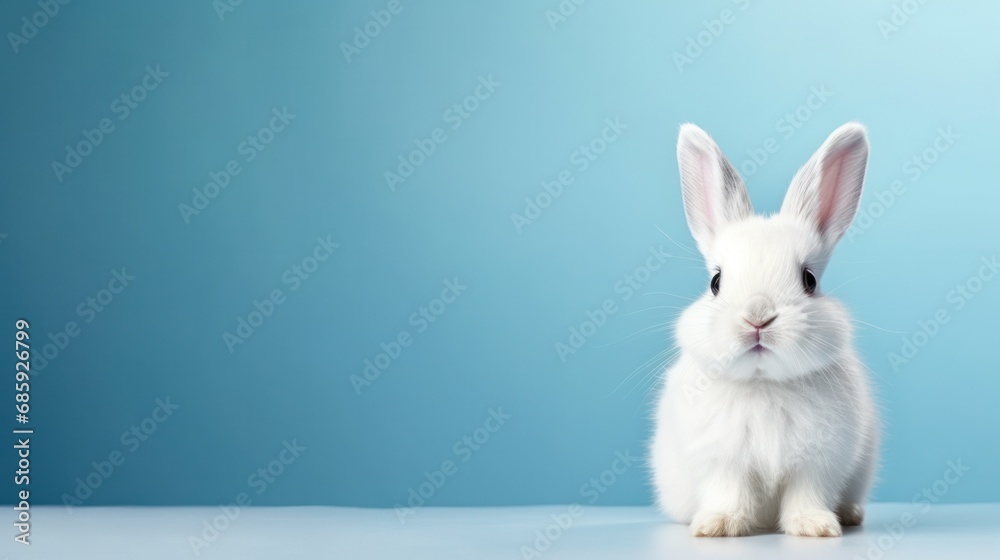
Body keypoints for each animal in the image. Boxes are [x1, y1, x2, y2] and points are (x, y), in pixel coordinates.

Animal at [649, 122, 880, 537]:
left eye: (809, 280)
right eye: (715, 282)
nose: (758, 317)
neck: (764, 383)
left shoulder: (818, 464)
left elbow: (806, 494)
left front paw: (815, 527)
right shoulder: (722, 462)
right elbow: (728, 492)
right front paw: (717, 526)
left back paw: (850, 514)